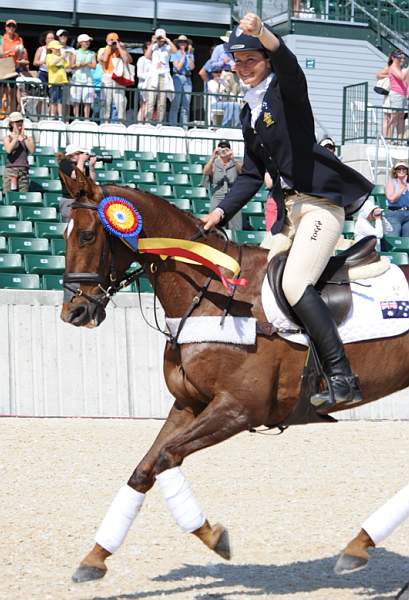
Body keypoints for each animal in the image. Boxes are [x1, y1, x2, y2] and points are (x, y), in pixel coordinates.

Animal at [59, 171, 408, 584]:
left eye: (86, 236)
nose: (74, 312)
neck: (209, 292)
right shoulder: (189, 405)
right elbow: (145, 469)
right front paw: (95, 557)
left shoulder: (237, 410)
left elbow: (165, 458)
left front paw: (214, 537)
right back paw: (359, 545)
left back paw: (359, 544)